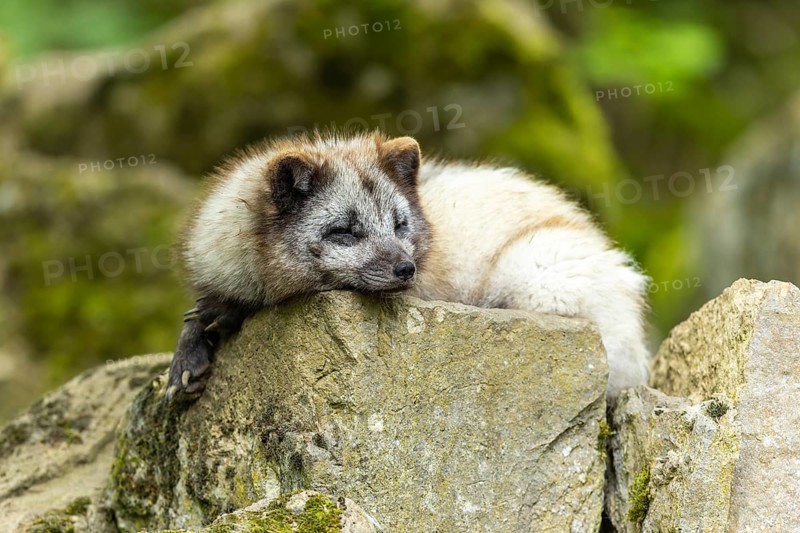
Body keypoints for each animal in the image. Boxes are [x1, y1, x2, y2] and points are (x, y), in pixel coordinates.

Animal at [165, 132, 649, 401]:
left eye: (399, 224)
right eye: (345, 231)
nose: (407, 269)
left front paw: (220, 322)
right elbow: (197, 314)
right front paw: (190, 353)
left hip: (537, 276)